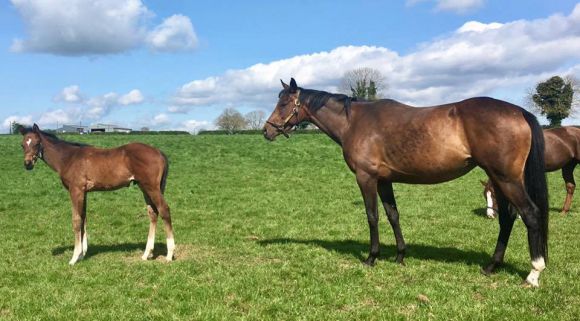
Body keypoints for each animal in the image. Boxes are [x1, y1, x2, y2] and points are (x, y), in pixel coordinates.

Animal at [19, 124, 176, 264]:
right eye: (22, 145)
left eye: (37, 143)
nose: (28, 164)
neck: (68, 158)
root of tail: (159, 152)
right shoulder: (84, 192)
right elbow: (83, 218)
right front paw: (82, 254)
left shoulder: (76, 190)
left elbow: (76, 220)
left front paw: (74, 257)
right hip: (144, 188)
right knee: (153, 213)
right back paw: (146, 254)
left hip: (151, 187)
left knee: (164, 210)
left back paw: (169, 254)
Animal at [262, 79, 548, 286]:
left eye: (285, 103)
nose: (267, 130)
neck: (354, 122)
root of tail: (519, 112)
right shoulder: (383, 181)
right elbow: (393, 215)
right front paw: (400, 255)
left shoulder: (366, 178)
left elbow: (372, 216)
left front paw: (372, 257)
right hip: (498, 179)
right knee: (507, 218)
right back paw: (491, 266)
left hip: (506, 179)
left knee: (530, 215)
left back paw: (534, 273)